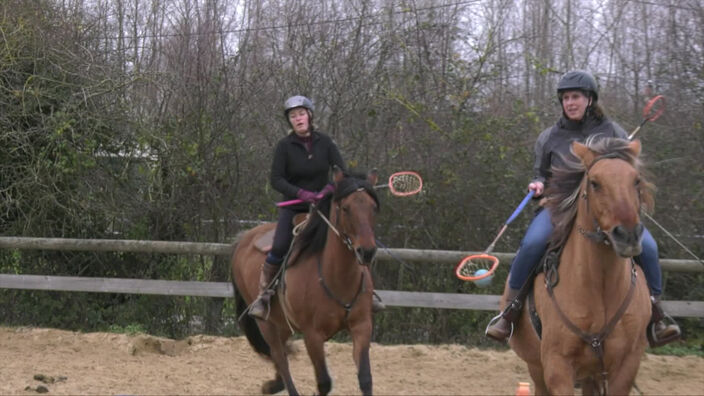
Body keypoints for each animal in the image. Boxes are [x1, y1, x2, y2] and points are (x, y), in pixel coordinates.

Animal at [231, 169, 380, 396]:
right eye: (345, 208)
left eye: (373, 207)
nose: (367, 251)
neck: (337, 278)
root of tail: (244, 238)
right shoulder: (313, 336)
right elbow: (324, 382)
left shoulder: (362, 326)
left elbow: (365, 378)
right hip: (266, 322)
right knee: (279, 357)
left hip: (282, 321)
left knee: (281, 352)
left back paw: (273, 384)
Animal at [504, 138, 652, 394]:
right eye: (595, 183)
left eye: (636, 180)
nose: (628, 235)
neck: (599, 288)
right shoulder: (557, 366)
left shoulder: (627, 365)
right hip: (538, 368)